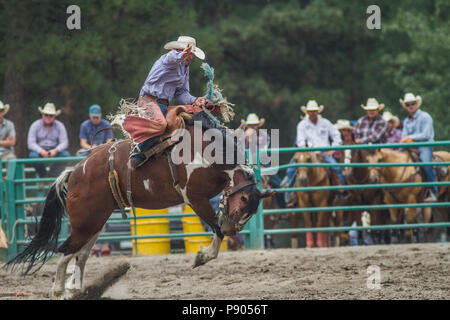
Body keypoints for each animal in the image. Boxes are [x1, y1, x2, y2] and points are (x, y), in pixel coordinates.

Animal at [5, 111, 274, 298]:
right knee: (64, 252)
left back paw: (79, 291)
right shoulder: (194, 197)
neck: (208, 153)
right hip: (85, 223)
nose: (234, 230)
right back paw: (60, 291)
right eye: (241, 205)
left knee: (79, 256)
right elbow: (216, 230)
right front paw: (201, 257)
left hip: (95, 223)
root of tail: (75, 173)